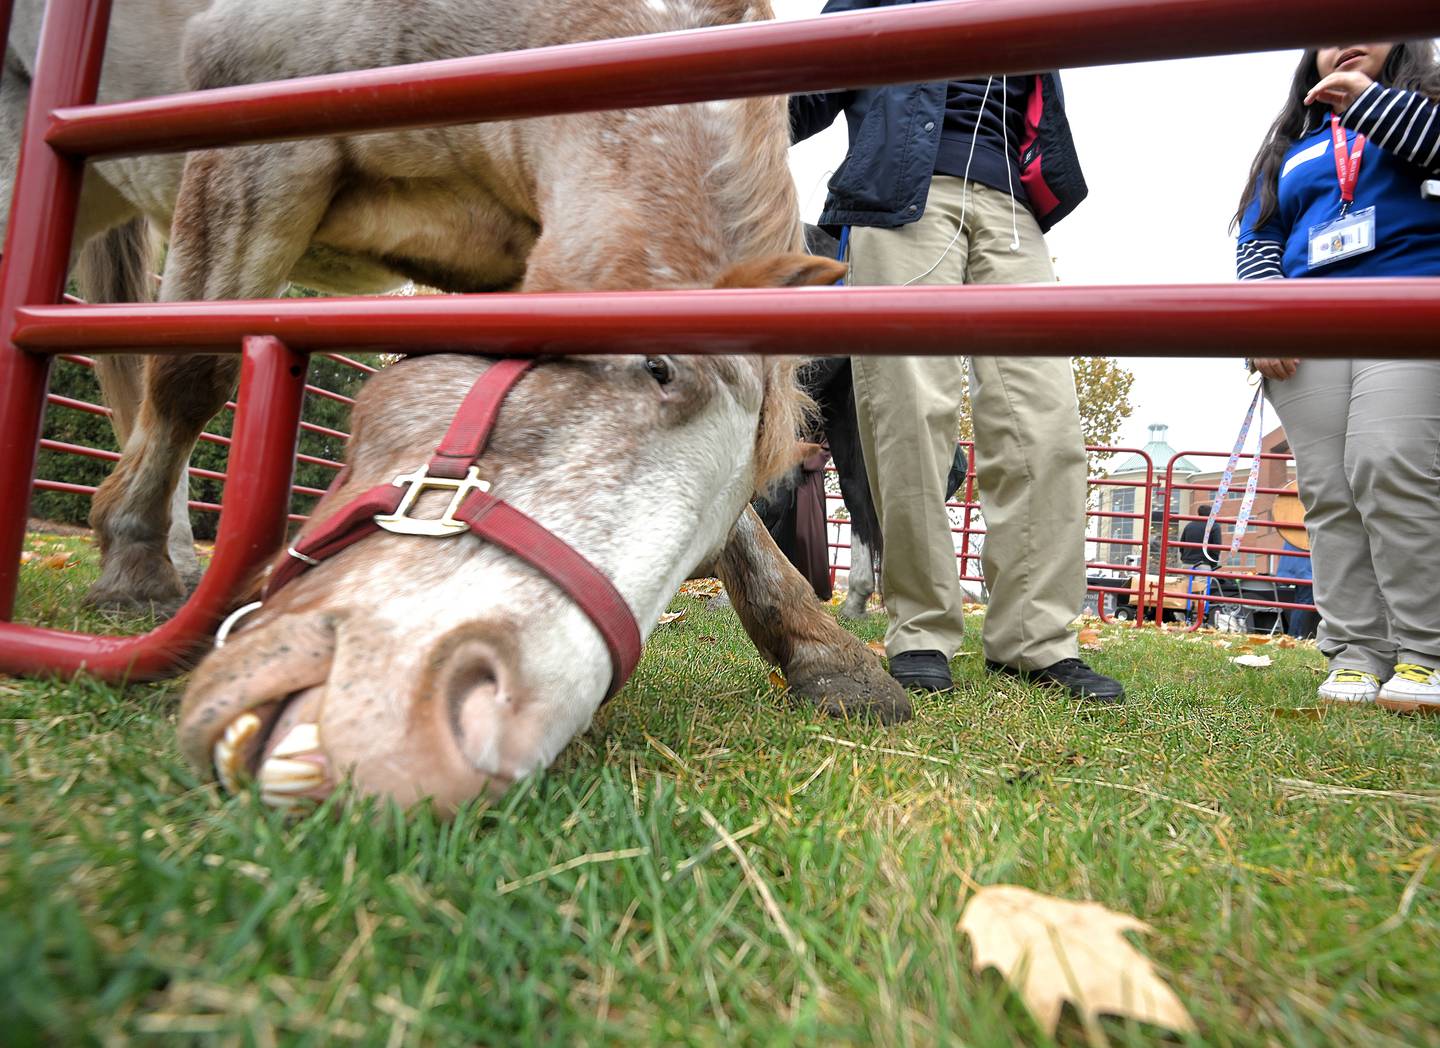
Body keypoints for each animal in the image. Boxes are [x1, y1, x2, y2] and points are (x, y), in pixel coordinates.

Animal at [2, 0, 912, 814]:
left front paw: (829, 657)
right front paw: (129, 564)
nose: (439, 744)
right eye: (657, 368)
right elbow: (194, 370)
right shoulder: (255, 144)